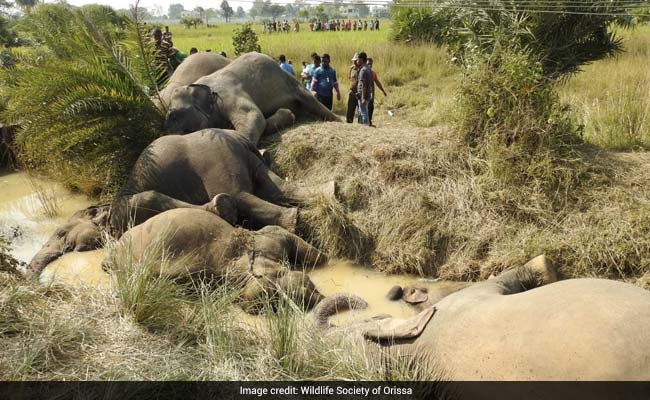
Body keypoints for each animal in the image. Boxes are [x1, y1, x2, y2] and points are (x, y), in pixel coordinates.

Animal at [163, 52, 340, 144]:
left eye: (173, 115)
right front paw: (288, 114)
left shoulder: (228, 93)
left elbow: (254, 116)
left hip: (293, 83)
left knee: (312, 101)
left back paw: (338, 121)